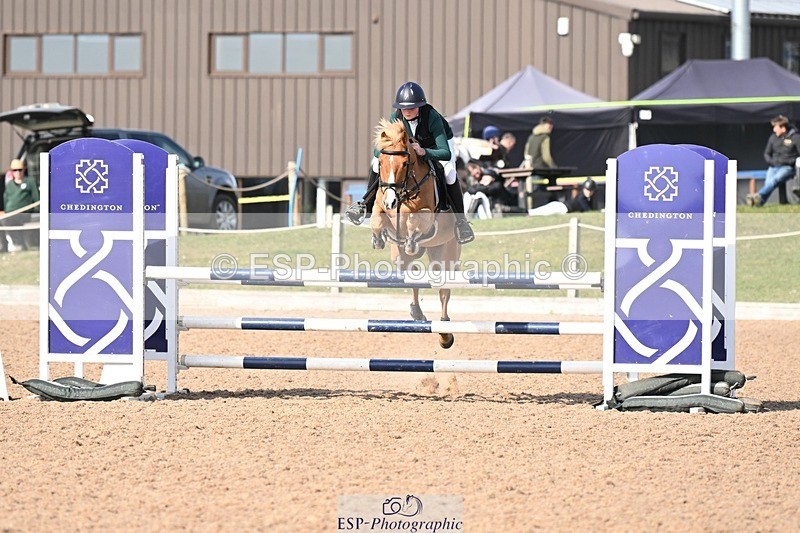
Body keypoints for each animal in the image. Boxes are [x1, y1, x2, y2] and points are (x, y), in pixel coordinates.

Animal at [370, 118, 461, 349]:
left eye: (405, 164)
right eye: (381, 163)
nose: (391, 202)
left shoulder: (428, 216)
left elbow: (415, 219)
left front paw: (411, 237)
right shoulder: (380, 206)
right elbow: (377, 217)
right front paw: (377, 239)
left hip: (445, 254)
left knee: (443, 291)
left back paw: (445, 333)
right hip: (400, 257)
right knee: (411, 275)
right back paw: (417, 312)